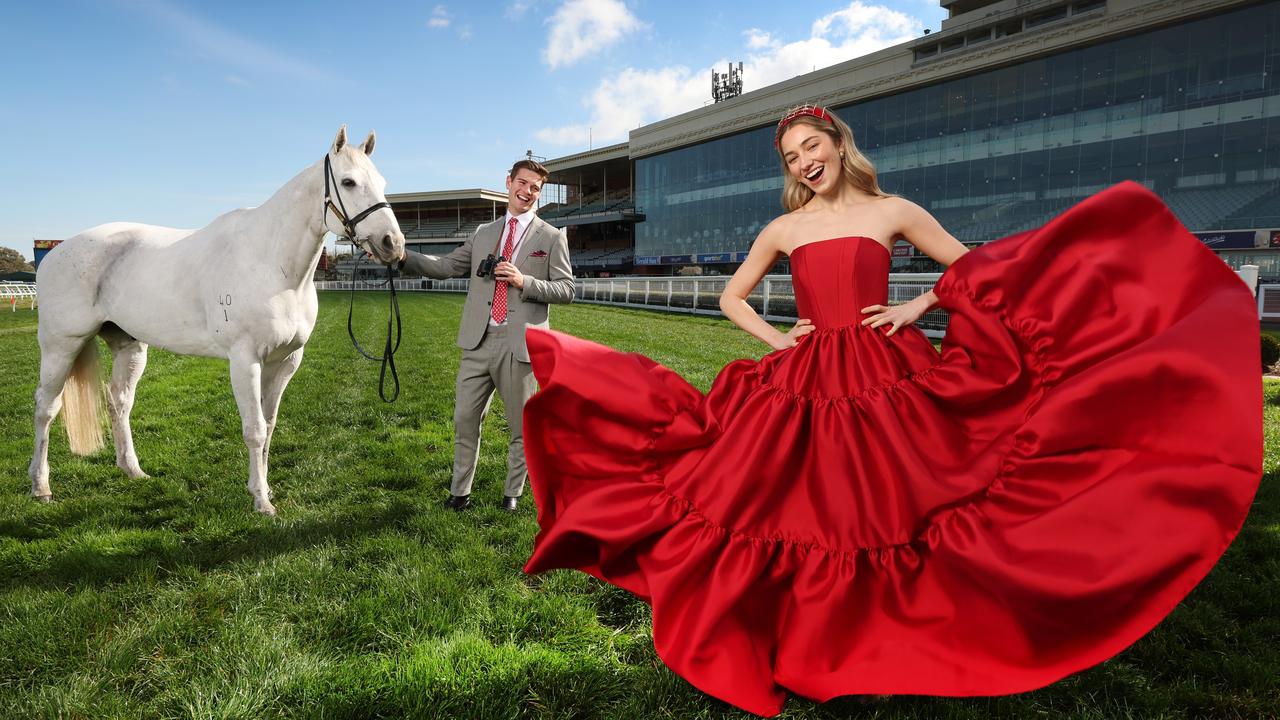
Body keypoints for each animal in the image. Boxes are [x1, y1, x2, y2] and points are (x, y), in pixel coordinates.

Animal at [30, 126, 401, 512]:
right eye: (348, 182)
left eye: (382, 182)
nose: (393, 243)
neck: (271, 264)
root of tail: (55, 252)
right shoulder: (245, 360)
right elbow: (254, 429)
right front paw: (261, 502)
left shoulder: (285, 362)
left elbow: (269, 426)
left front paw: (264, 489)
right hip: (61, 346)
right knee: (46, 406)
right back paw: (41, 487)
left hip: (129, 347)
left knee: (119, 401)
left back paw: (132, 470)